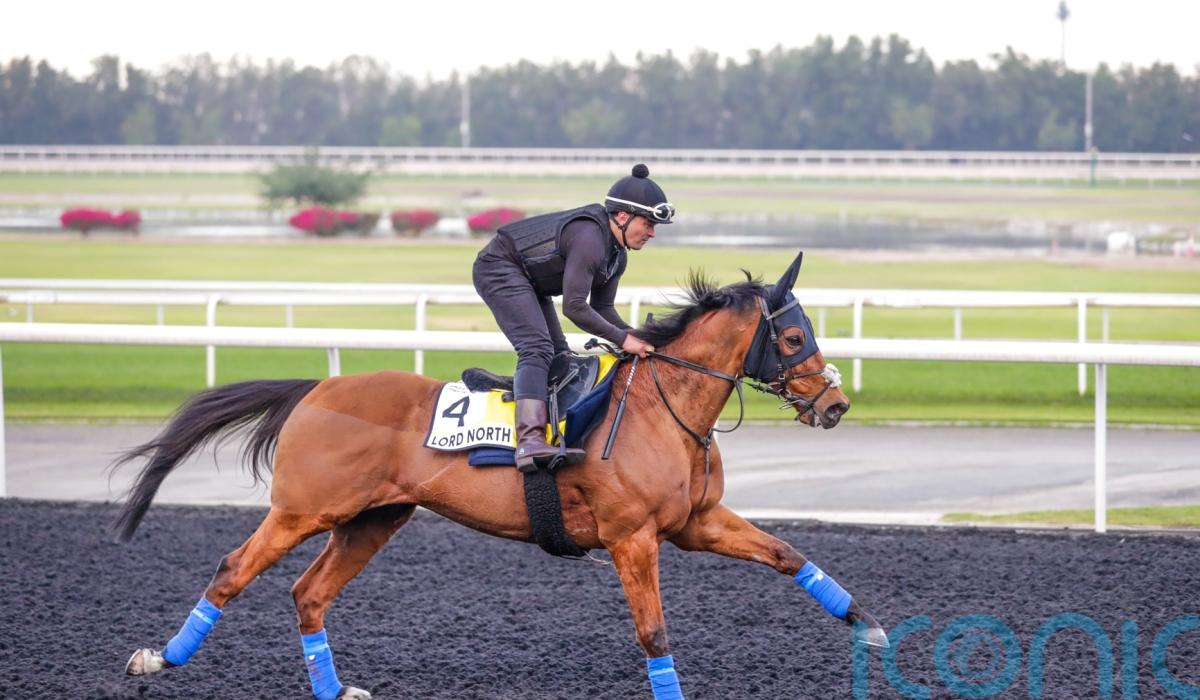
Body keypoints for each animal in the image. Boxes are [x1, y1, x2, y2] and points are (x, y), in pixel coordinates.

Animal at [114, 252, 888, 700]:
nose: (835, 405)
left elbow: (786, 553)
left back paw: (333, 689)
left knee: (308, 593)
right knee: (232, 570)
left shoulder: (695, 523)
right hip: (306, 509)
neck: (663, 409)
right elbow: (655, 634)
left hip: (373, 519)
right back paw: (157, 659)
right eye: (795, 336)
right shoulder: (632, 537)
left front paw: (869, 625)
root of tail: (316, 388)